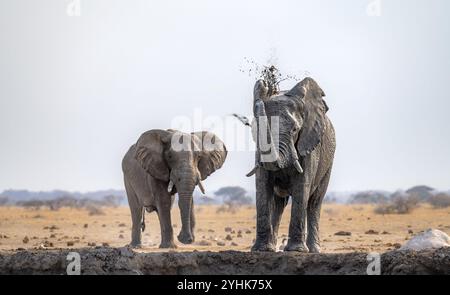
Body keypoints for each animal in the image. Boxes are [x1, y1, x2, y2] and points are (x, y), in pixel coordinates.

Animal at [248, 77, 336, 253]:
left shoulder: (309, 144)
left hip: (328, 163)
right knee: (278, 204)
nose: (262, 85)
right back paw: (272, 247)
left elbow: (302, 186)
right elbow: (262, 186)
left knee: (314, 202)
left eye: (295, 130)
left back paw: (313, 250)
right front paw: (261, 250)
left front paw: (296, 250)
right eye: (256, 128)